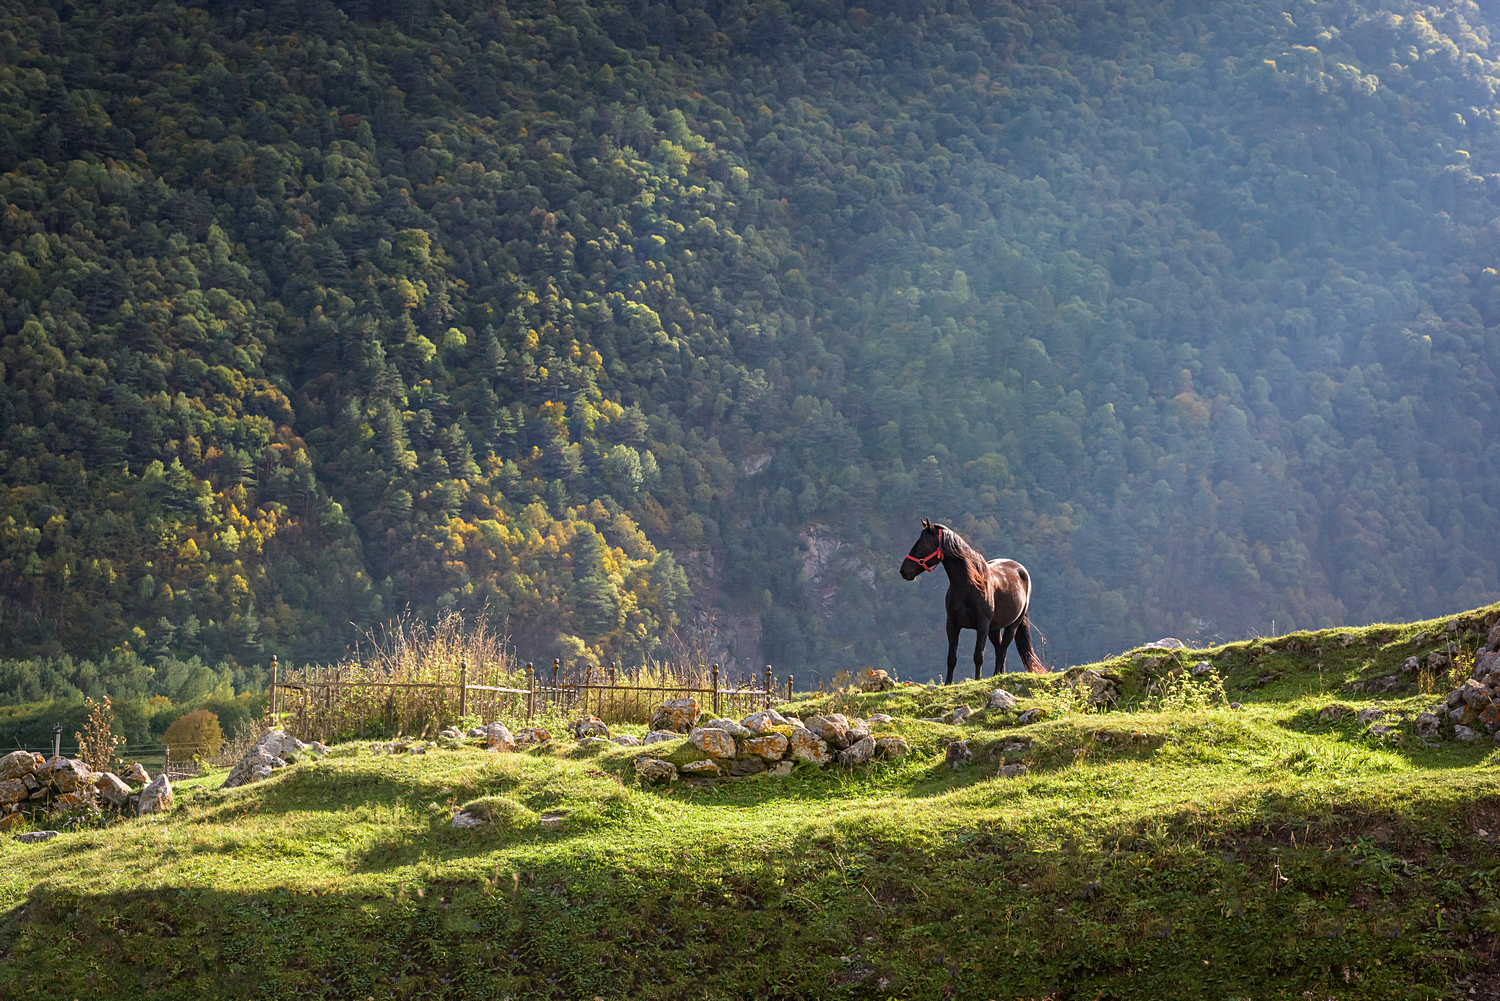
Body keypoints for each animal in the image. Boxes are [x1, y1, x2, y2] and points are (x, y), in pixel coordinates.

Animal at [900, 516, 1044, 681]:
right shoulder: (952, 625)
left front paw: (977, 680)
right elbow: (951, 658)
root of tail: (1021, 570)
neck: (968, 587)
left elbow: (978, 657)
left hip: (1012, 626)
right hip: (994, 629)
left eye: (923, 544)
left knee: (1002, 651)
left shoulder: (982, 626)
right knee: (999, 649)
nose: (903, 570)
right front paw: (948, 683)